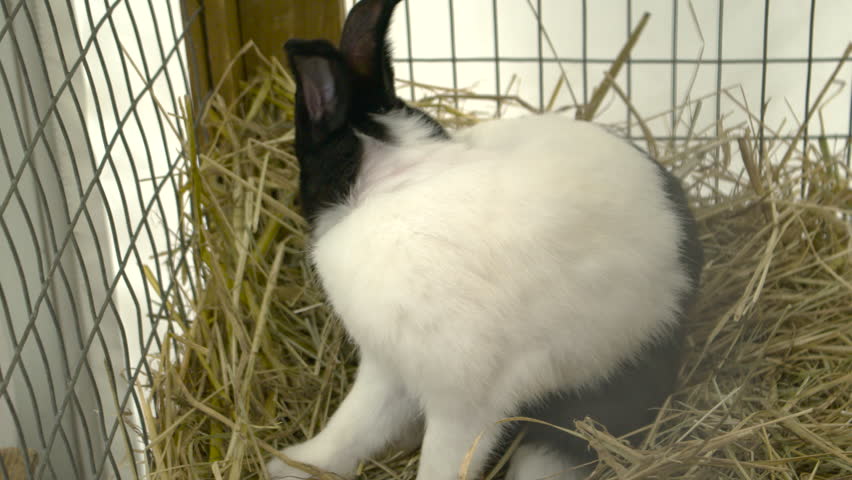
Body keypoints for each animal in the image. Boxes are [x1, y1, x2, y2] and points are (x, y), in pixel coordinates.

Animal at [267, 0, 703, 479]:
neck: (396, 183)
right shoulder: (387, 368)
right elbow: (353, 426)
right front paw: (290, 466)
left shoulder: (462, 401)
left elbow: (441, 461)